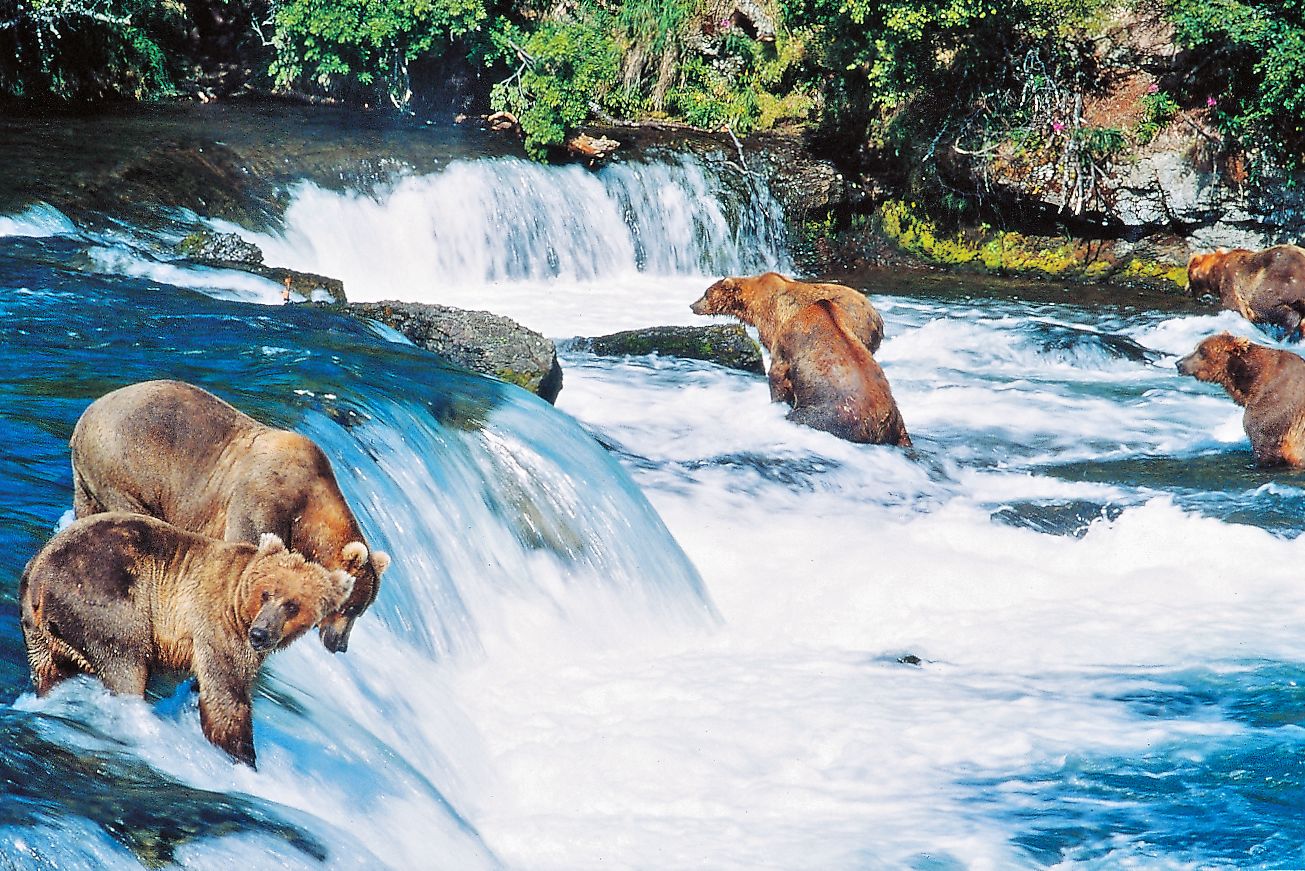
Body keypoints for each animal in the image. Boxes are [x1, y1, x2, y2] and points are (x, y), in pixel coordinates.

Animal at [21, 514, 357, 767]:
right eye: (266, 593)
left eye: (292, 605)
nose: (260, 635)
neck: (239, 606)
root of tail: (38, 577)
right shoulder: (217, 627)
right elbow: (226, 696)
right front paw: (244, 759)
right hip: (109, 600)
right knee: (126, 665)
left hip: (40, 635)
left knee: (52, 670)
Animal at [69, 381, 388, 652]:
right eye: (350, 607)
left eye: (360, 610)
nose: (339, 644)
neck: (307, 516)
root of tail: (87, 415)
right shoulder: (262, 501)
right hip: (128, 467)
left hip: (88, 480)